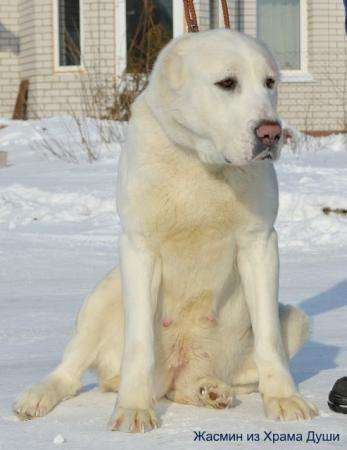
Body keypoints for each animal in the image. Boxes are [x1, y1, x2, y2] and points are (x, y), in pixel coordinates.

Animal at [13, 29, 318, 432]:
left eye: (270, 83)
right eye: (227, 83)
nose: (271, 132)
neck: (201, 164)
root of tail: (178, 370)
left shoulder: (260, 244)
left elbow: (269, 338)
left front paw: (284, 399)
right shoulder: (139, 248)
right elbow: (139, 343)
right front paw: (133, 409)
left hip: (295, 321)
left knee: (208, 380)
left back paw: (209, 390)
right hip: (104, 293)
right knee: (70, 370)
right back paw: (36, 396)